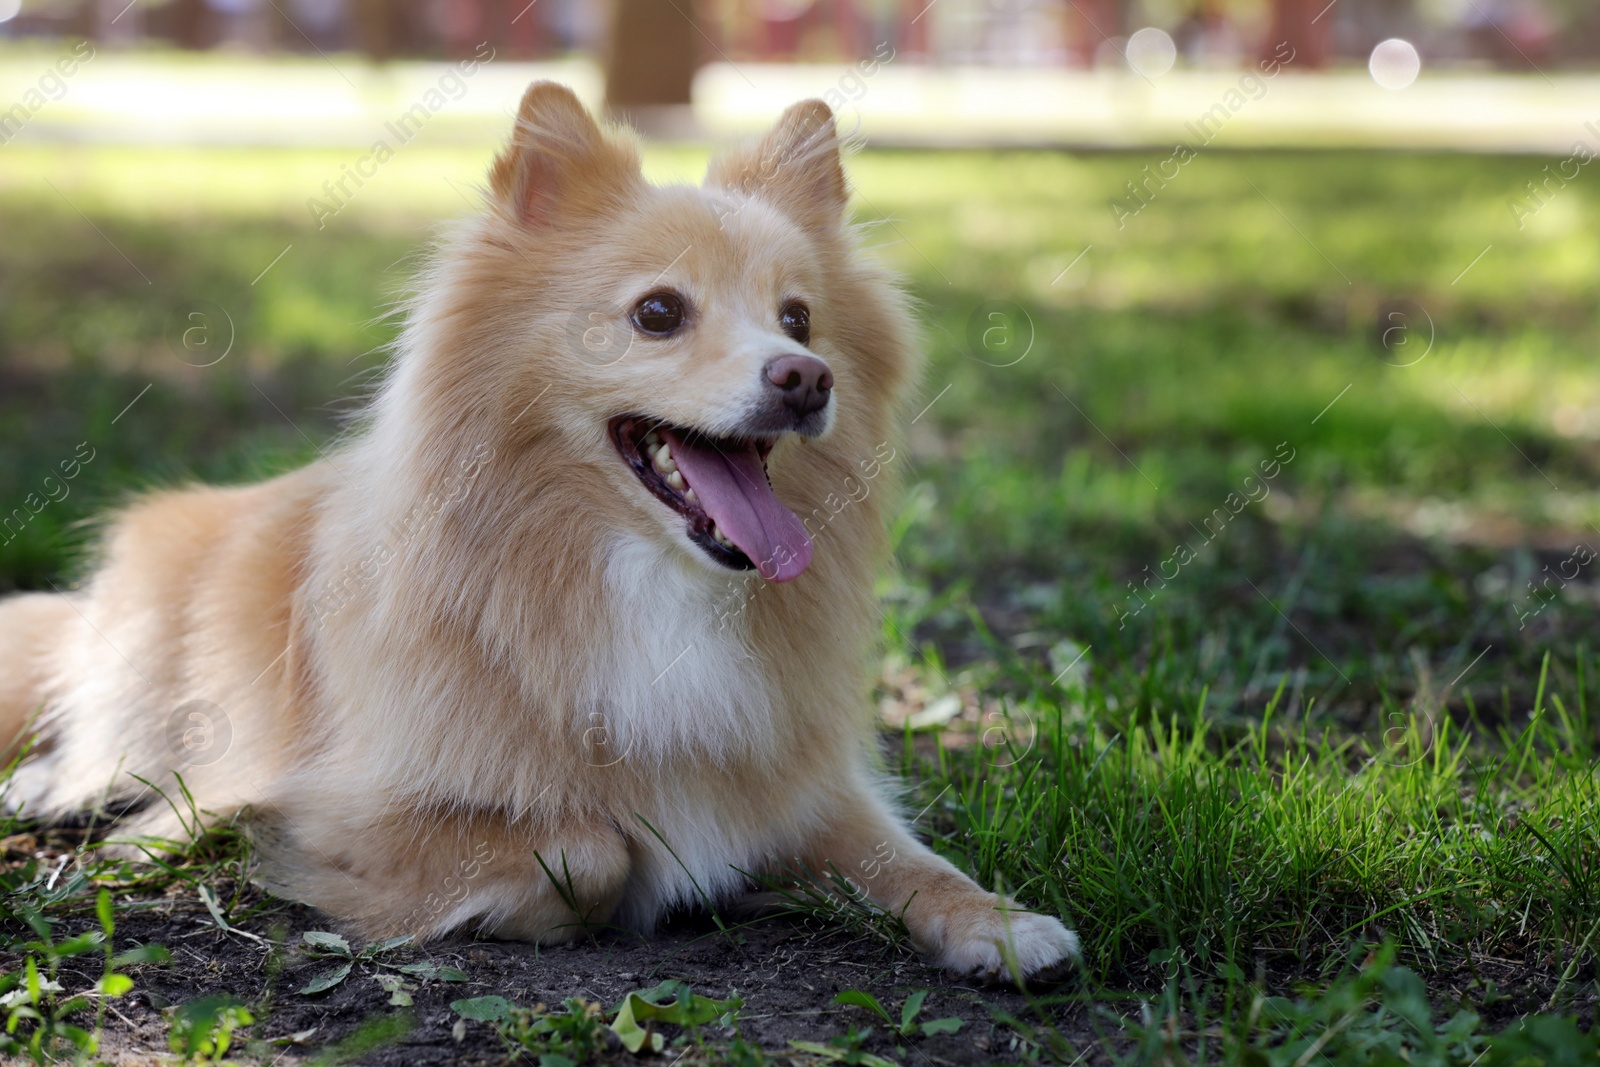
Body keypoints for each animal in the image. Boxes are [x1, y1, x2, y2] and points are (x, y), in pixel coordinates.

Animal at [0, 85, 1081, 985]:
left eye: (799, 320)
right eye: (658, 312)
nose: (803, 378)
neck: (647, 580)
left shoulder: (803, 780)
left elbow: (911, 857)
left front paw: (997, 920)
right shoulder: (351, 806)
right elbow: (592, 848)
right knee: (96, 723)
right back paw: (47, 783)